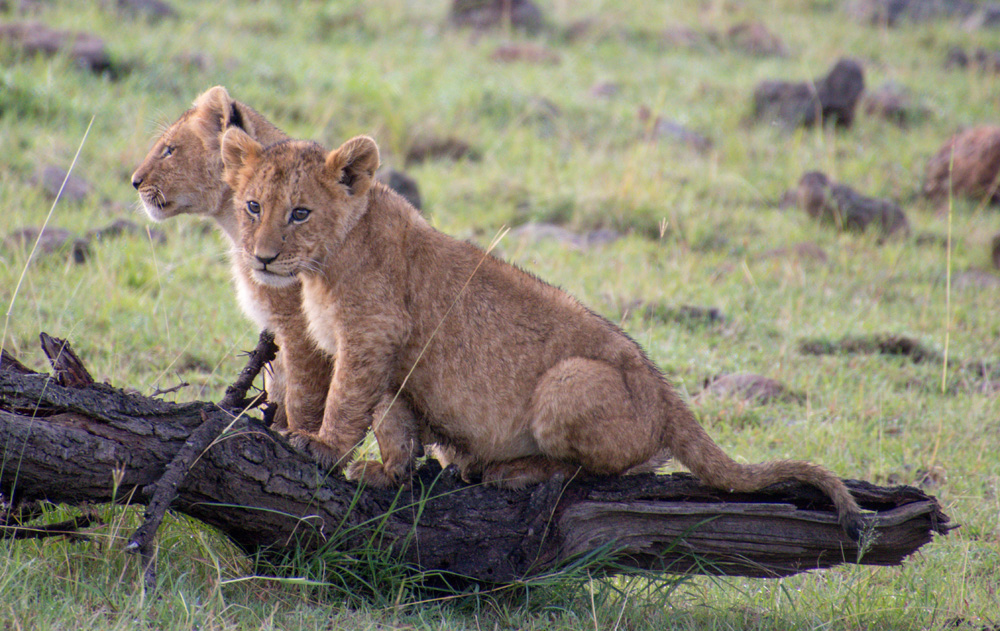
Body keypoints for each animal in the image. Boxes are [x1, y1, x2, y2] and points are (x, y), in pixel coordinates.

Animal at [220, 128, 866, 540]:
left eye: (300, 212)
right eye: (252, 206)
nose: (262, 258)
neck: (325, 262)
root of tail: (667, 395)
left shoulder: (373, 333)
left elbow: (349, 401)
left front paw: (321, 446)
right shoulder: (390, 354)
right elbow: (392, 417)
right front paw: (392, 472)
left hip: (568, 381)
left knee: (605, 471)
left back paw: (509, 471)